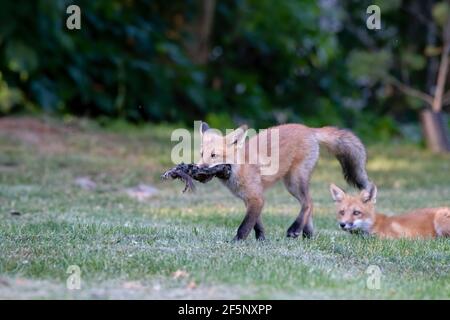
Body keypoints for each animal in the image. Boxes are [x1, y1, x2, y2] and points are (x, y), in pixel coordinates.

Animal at [199, 122, 370, 240]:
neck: (239, 167)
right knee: (309, 204)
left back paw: (295, 229)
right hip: (293, 184)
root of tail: (309, 129)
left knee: (308, 203)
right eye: (201, 154)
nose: (199, 167)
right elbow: (257, 224)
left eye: (214, 155)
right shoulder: (250, 200)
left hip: (294, 182)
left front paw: (236, 241)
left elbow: (245, 226)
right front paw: (262, 239)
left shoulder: (256, 198)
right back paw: (308, 234)